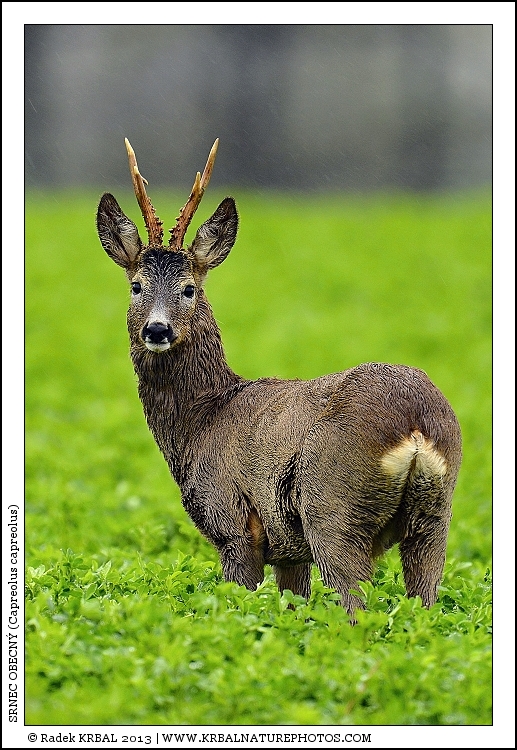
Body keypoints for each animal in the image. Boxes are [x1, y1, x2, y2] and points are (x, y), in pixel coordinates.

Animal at [96, 138, 462, 618]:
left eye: (189, 288)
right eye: (137, 285)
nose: (157, 330)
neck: (202, 419)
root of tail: (415, 425)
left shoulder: (234, 523)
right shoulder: (289, 550)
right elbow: (292, 605)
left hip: (332, 509)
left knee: (354, 605)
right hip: (435, 515)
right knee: (425, 600)